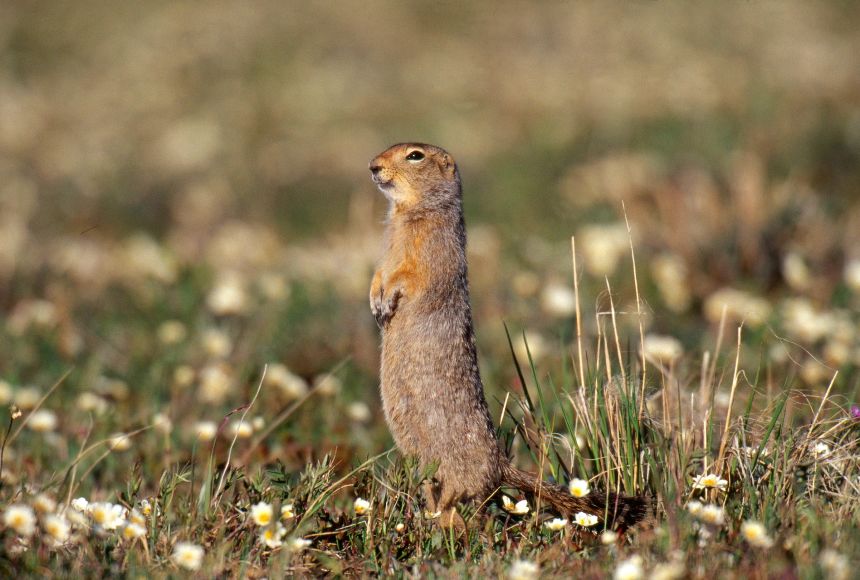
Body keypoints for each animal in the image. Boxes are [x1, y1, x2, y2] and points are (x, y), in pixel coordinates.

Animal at [368, 143, 644, 532]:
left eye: (415, 155)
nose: (372, 166)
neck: (408, 212)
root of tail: (501, 465)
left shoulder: (429, 251)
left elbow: (409, 275)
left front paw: (388, 300)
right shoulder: (387, 251)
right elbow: (379, 272)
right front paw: (375, 303)